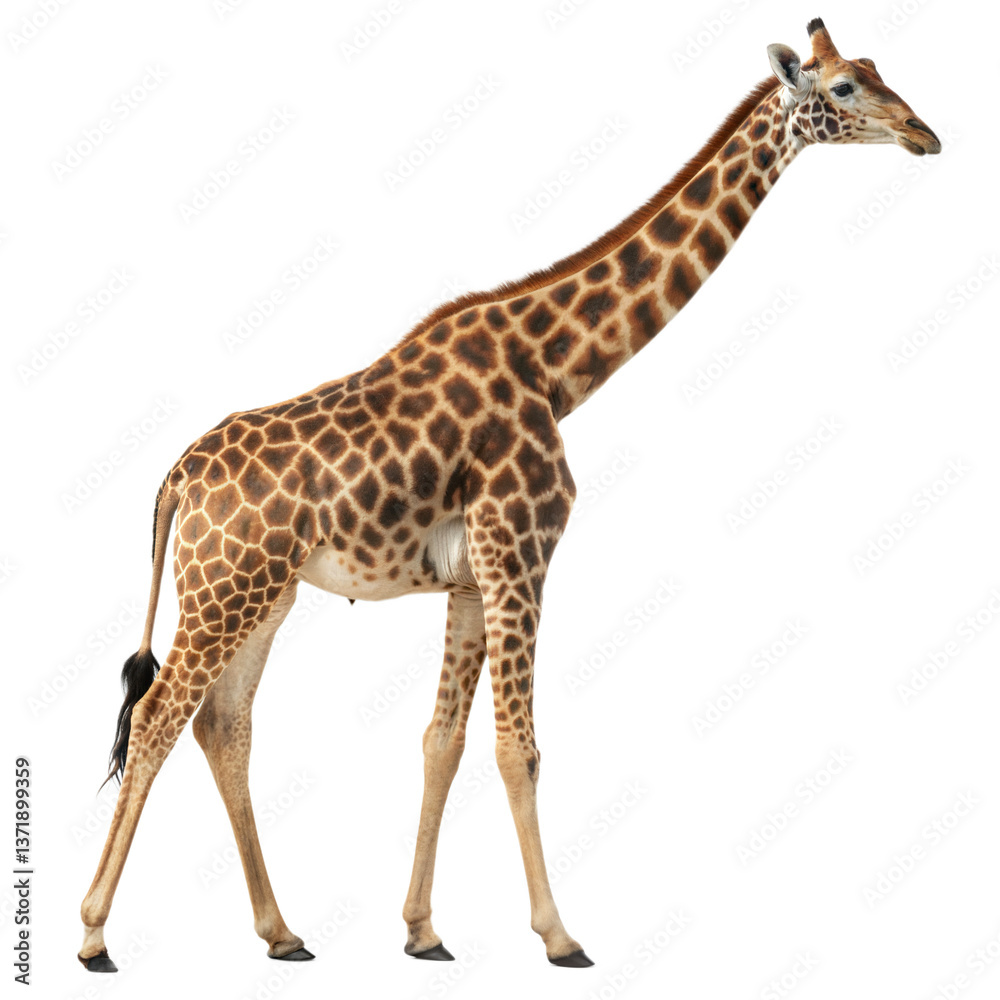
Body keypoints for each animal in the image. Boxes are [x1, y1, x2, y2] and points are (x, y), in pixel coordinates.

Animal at [79, 18, 939, 972]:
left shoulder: (469, 579)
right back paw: (94, 934)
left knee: (222, 725)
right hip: (225, 590)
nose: (924, 134)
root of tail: (176, 477)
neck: (557, 371)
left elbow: (442, 742)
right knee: (156, 717)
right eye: (845, 86)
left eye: (877, 69)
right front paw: (560, 936)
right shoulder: (521, 551)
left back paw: (282, 932)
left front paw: (422, 932)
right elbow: (517, 747)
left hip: (262, 595)